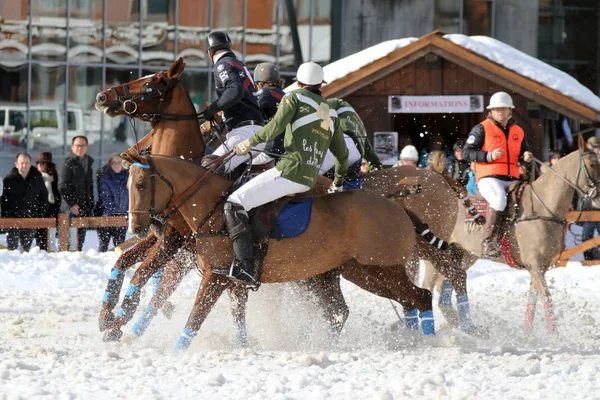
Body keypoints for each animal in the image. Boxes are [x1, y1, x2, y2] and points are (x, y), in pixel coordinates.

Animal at [126, 155, 434, 352]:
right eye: (128, 185)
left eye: (141, 185)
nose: (137, 228)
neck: (212, 211)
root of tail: (398, 207)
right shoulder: (233, 280)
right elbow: (236, 316)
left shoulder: (216, 276)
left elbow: (195, 317)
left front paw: (177, 352)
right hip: (355, 272)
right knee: (347, 311)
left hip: (378, 269)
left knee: (421, 297)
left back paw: (429, 341)